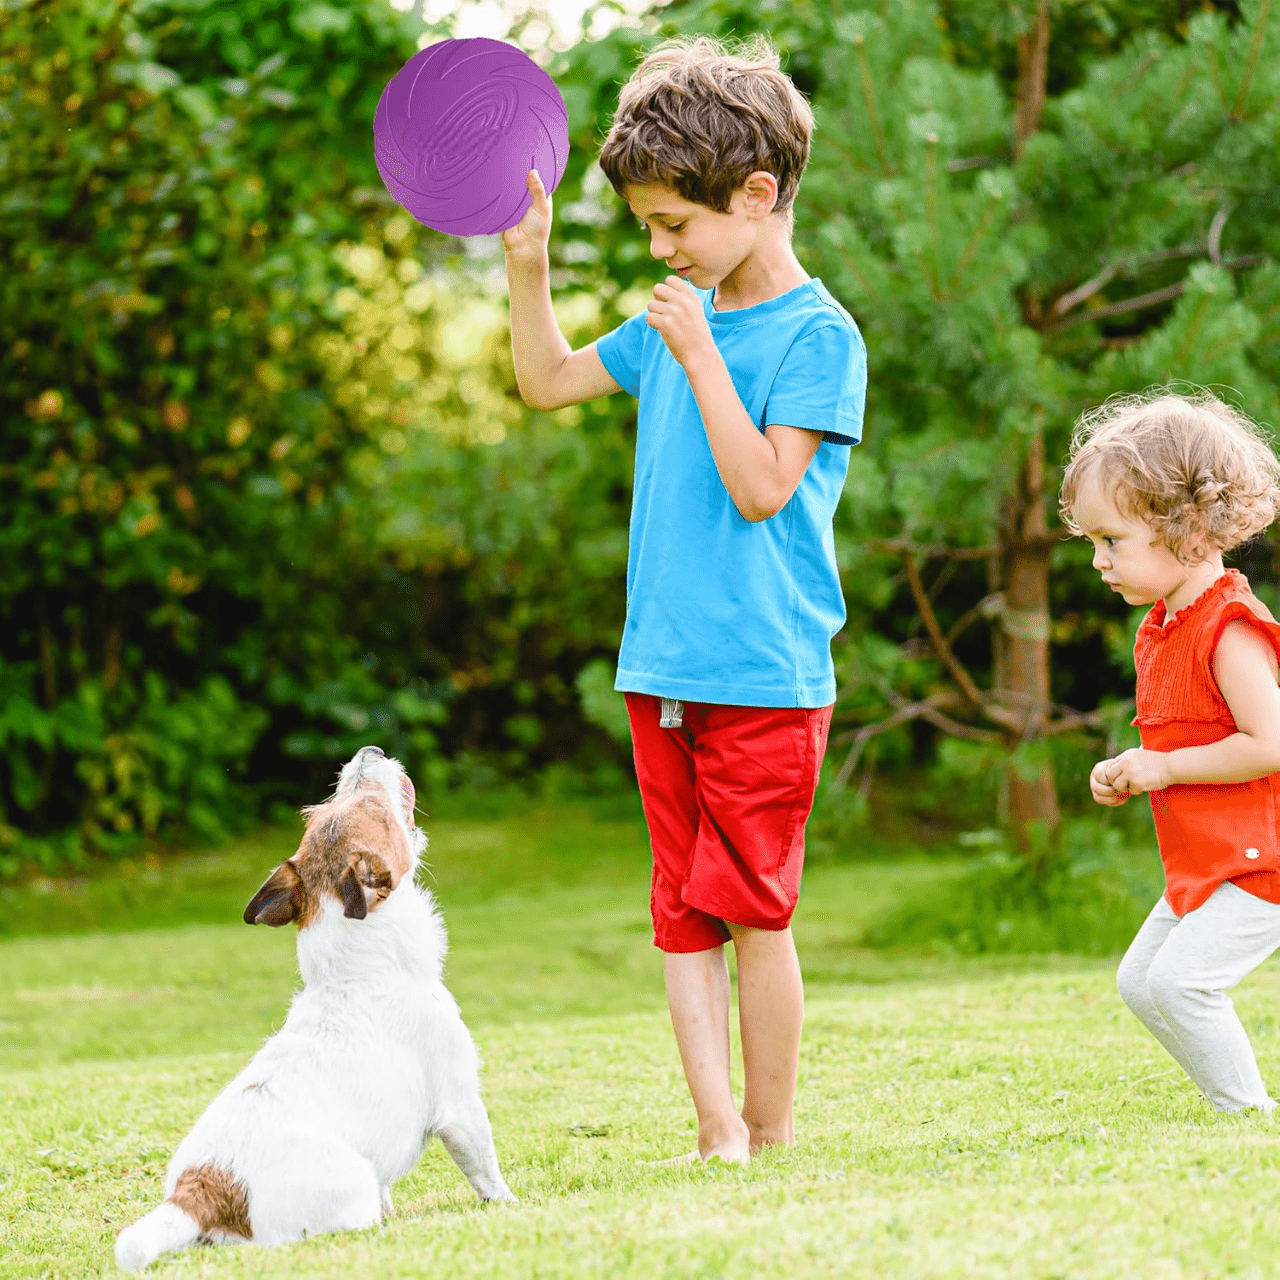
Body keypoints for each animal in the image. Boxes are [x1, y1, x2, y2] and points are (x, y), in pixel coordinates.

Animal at [115, 742, 514, 1269]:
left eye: (318, 811)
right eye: (375, 807)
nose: (369, 749)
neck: (356, 973)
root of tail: (200, 1193)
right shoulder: (460, 1106)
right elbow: (485, 1169)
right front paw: (510, 1203)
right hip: (351, 1191)